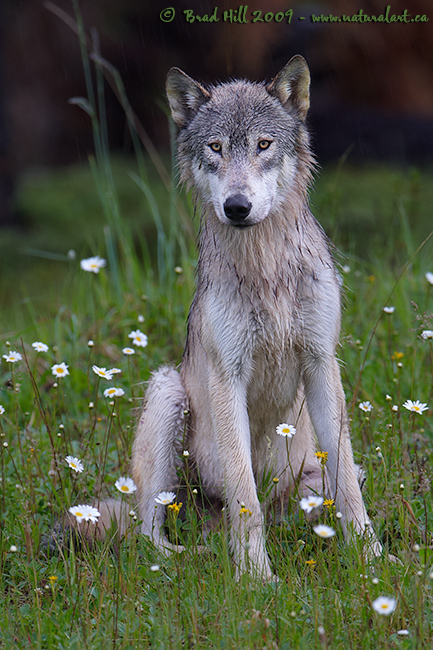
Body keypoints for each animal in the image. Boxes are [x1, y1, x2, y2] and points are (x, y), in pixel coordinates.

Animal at [131, 55, 381, 579]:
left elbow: (349, 486)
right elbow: (244, 497)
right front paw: (256, 578)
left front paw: (371, 559)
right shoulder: (229, 376)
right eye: (216, 148)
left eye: (264, 145)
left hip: (308, 480)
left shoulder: (321, 363)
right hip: (167, 393)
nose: (237, 207)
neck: (267, 272)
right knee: (150, 536)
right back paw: (201, 558)